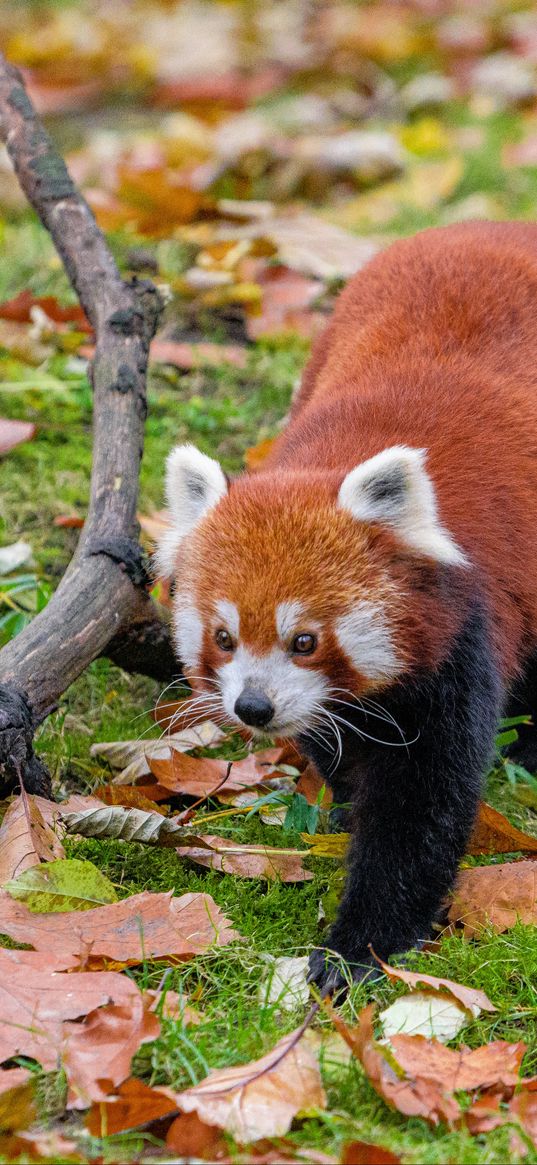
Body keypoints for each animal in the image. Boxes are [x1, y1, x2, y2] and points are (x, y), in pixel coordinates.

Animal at [156, 222, 537, 987]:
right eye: (223, 636)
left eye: (304, 639)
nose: (253, 708)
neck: (328, 459)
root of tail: (495, 224)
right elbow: (337, 739)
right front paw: (343, 802)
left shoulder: (462, 633)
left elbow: (422, 805)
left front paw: (358, 948)